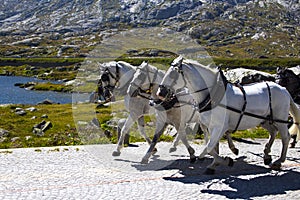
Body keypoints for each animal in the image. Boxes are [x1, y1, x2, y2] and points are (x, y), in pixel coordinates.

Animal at [157, 55, 300, 173]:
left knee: (285, 137)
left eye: (173, 74)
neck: (212, 95)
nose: (160, 92)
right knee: (273, 132)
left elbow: (209, 147)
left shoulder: (220, 126)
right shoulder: (210, 126)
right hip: (264, 120)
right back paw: (266, 154)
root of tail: (284, 89)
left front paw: (223, 160)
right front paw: (216, 162)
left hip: (280, 119)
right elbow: (211, 146)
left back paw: (279, 161)